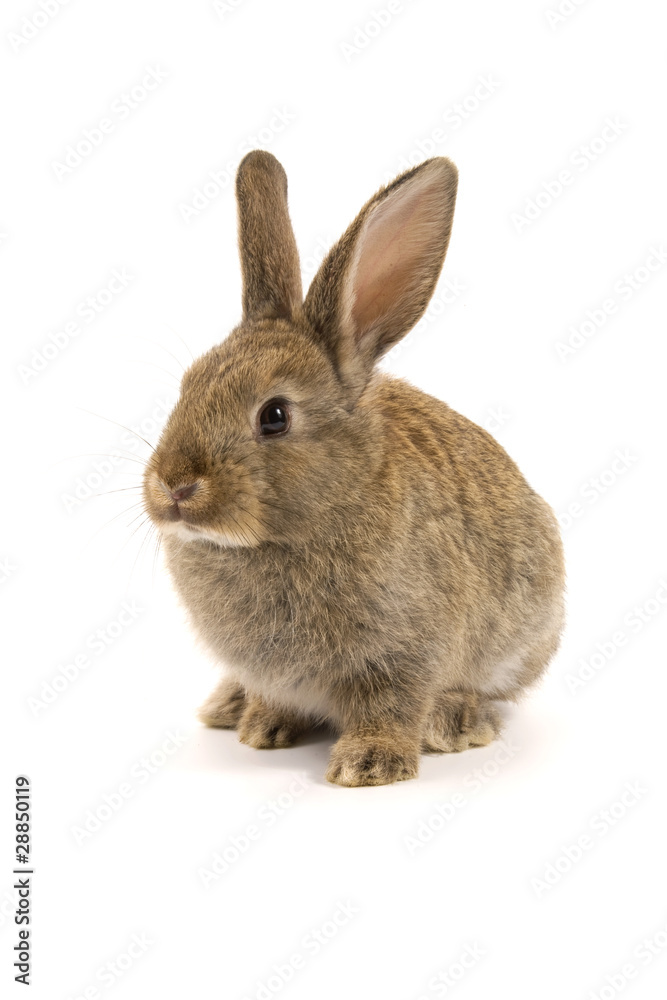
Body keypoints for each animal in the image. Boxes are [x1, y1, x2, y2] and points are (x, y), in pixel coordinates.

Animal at [144, 150, 568, 788]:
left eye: (274, 416)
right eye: (187, 386)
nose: (174, 486)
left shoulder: (403, 653)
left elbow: (389, 704)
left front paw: (368, 764)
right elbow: (277, 698)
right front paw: (263, 729)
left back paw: (456, 722)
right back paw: (229, 706)